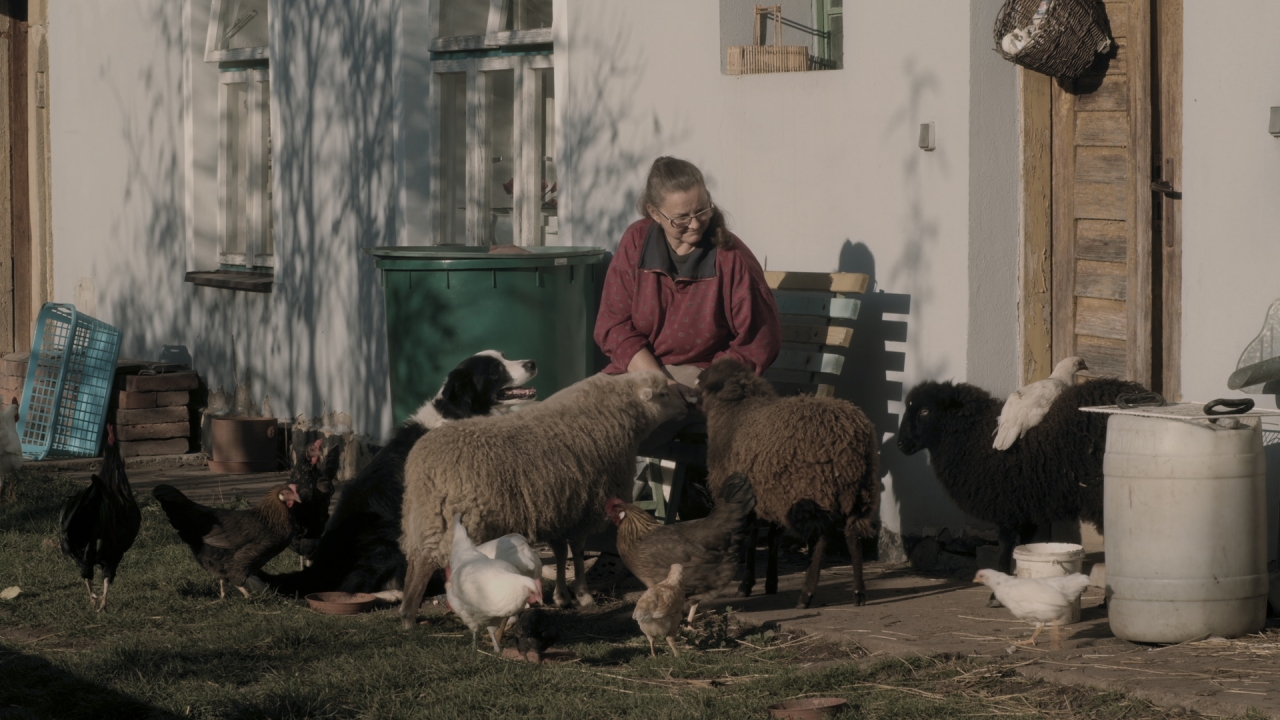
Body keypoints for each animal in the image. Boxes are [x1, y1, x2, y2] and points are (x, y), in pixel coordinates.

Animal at [399, 366, 691, 625]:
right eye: (663, 394)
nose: (688, 405)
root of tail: (421, 465)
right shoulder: (583, 508)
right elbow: (577, 551)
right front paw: (583, 595)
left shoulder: (559, 507)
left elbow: (561, 552)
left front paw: (562, 596)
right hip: (456, 517)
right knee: (426, 563)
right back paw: (410, 617)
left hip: (425, 515)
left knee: (414, 559)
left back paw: (405, 609)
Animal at [701, 356, 880, 604]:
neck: (734, 412)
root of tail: (849, 435)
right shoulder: (771, 494)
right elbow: (772, 538)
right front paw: (770, 583)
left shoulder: (746, 497)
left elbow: (751, 538)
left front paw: (746, 584)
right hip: (858, 490)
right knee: (852, 534)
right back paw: (859, 592)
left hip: (813, 491)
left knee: (820, 539)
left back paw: (806, 594)